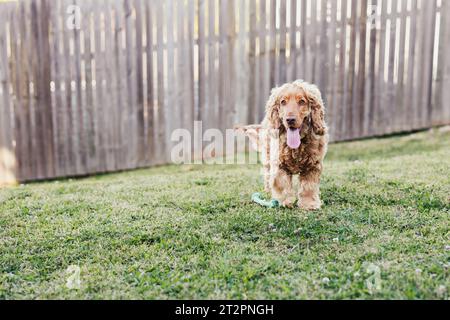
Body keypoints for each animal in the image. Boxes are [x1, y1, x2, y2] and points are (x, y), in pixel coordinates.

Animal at [237, 79, 328, 210]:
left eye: (302, 101)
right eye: (283, 102)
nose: (290, 120)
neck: (296, 147)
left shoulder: (313, 165)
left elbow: (308, 187)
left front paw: (309, 204)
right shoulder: (279, 165)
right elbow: (282, 184)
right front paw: (285, 202)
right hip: (268, 157)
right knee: (267, 175)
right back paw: (267, 190)